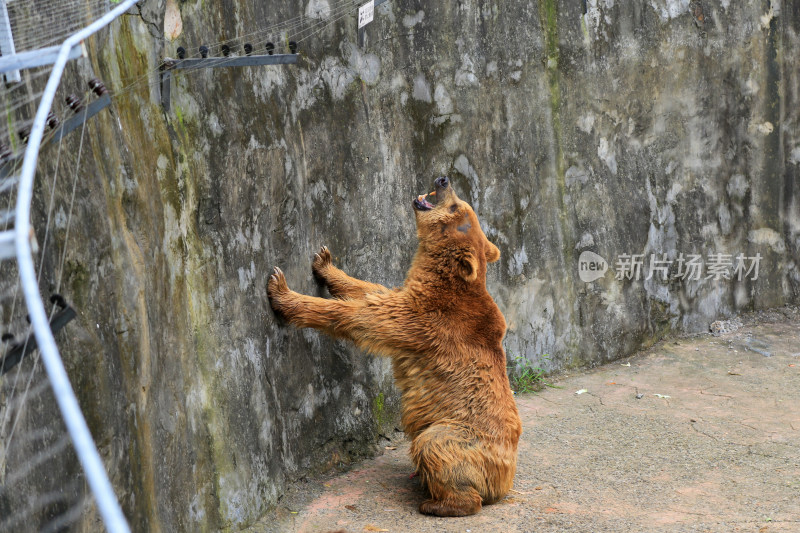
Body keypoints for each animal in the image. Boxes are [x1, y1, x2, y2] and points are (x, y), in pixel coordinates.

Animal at [266, 176, 520, 516]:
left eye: (455, 207)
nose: (443, 180)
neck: (440, 277)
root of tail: (505, 481)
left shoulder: (424, 320)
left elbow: (360, 317)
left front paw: (281, 290)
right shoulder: (408, 296)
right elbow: (371, 289)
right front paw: (325, 262)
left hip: (461, 434)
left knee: (434, 446)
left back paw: (436, 503)